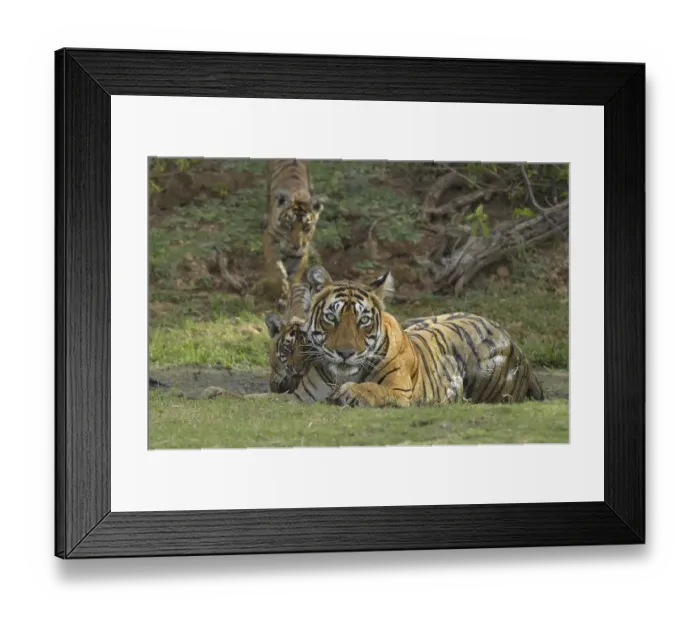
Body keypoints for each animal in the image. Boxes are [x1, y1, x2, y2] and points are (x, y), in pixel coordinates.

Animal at [261, 159, 325, 304]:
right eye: (289, 225)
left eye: (306, 228)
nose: (296, 246)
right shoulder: (270, 237)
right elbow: (274, 266)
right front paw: (280, 286)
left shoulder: (302, 251)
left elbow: (297, 272)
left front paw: (290, 291)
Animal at [289, 265, 545, 408]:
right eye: (332, 317)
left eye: (364, 321)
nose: (345, 353)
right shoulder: (301, 398)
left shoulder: (401, 391)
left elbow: (374, 389)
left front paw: (350, 392)